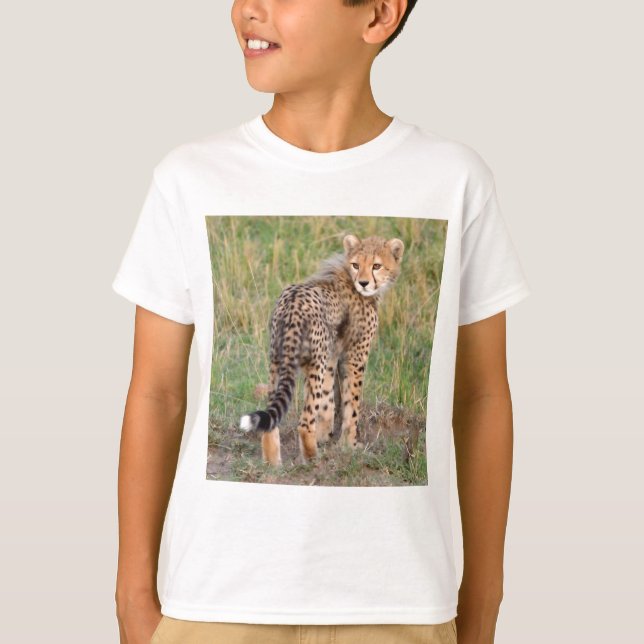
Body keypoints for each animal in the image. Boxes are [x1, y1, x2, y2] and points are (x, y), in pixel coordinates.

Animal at [239, 233, 405, 466]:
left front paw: (325, 436)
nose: (363, 283)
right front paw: (350, 446)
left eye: (376, 265)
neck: (349, 277)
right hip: (312, 363)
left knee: (273, 420)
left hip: (277, 361)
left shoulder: (331, 355)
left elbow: (327, 401)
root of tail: (292, 303)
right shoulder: (355, 357)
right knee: (305, 421)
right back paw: (312, 459)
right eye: (356, 265)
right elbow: (351, 404)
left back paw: (273, 465)